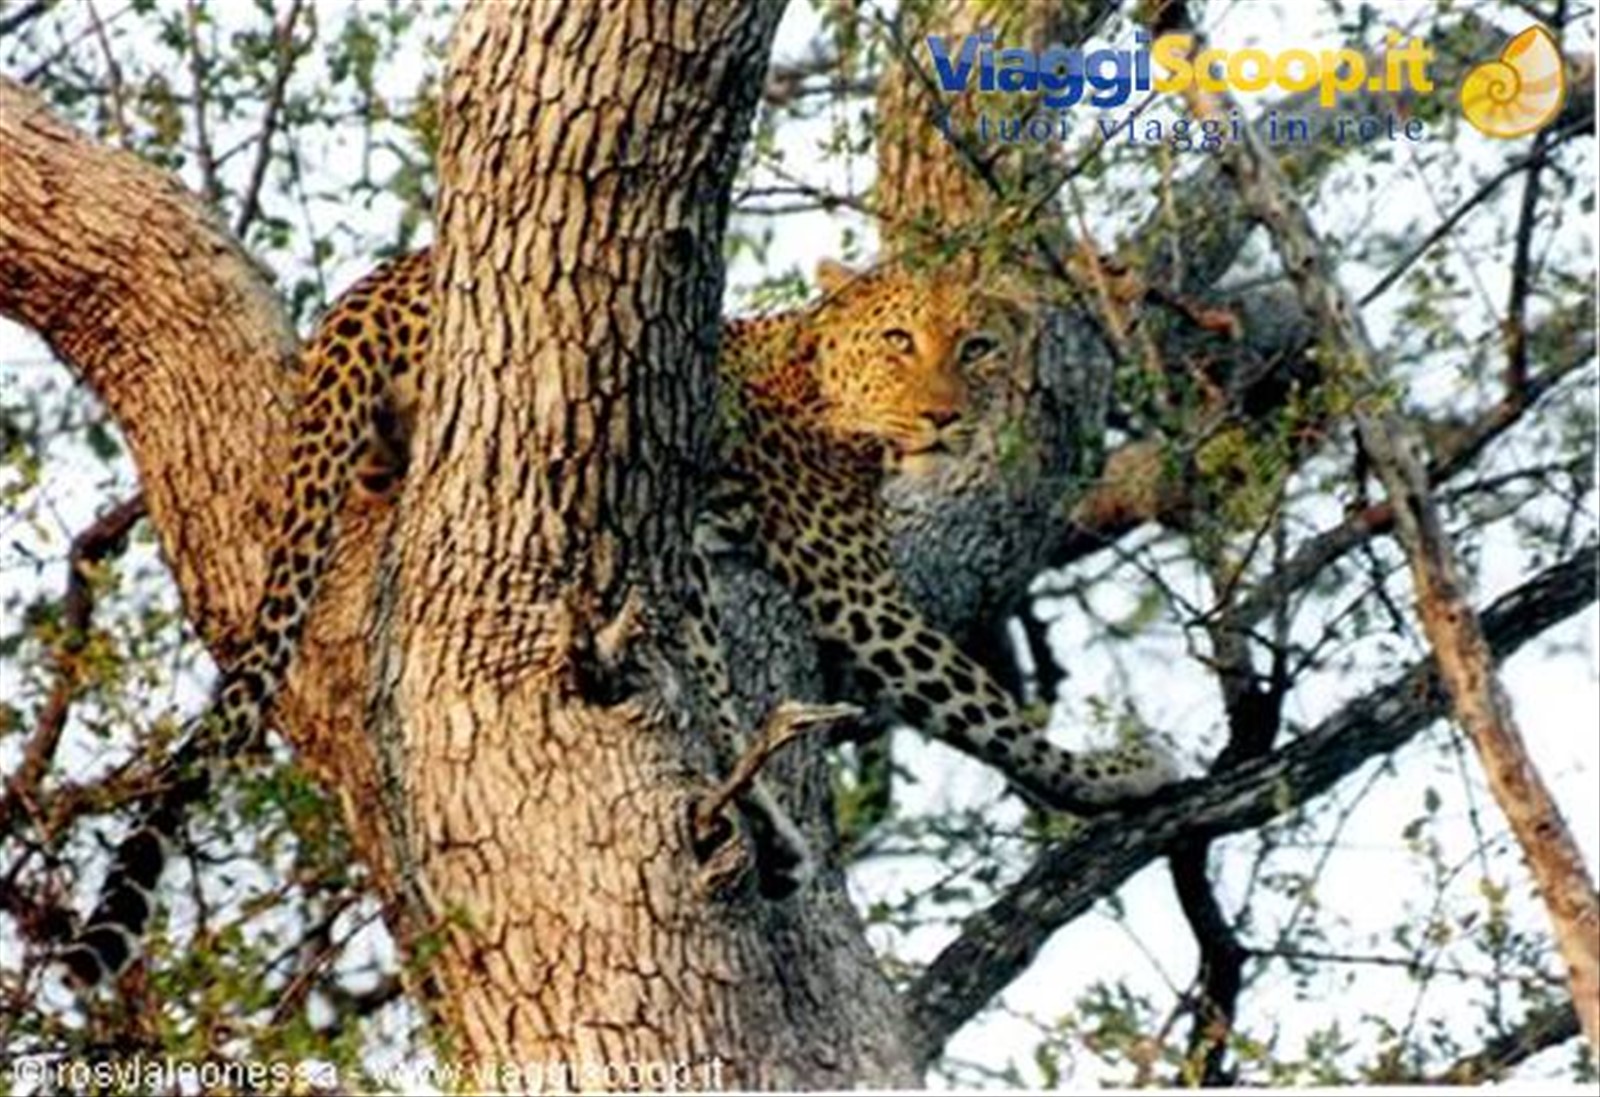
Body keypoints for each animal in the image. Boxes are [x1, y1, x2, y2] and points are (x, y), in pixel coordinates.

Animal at [60, 249, 1175, 987]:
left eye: (976, 347)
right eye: (900, 341)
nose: (945, 414)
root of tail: (378, 286)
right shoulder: (858, 591)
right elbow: (995, 714)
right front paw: (1120, 772)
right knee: (718, 707)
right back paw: (771, 833)